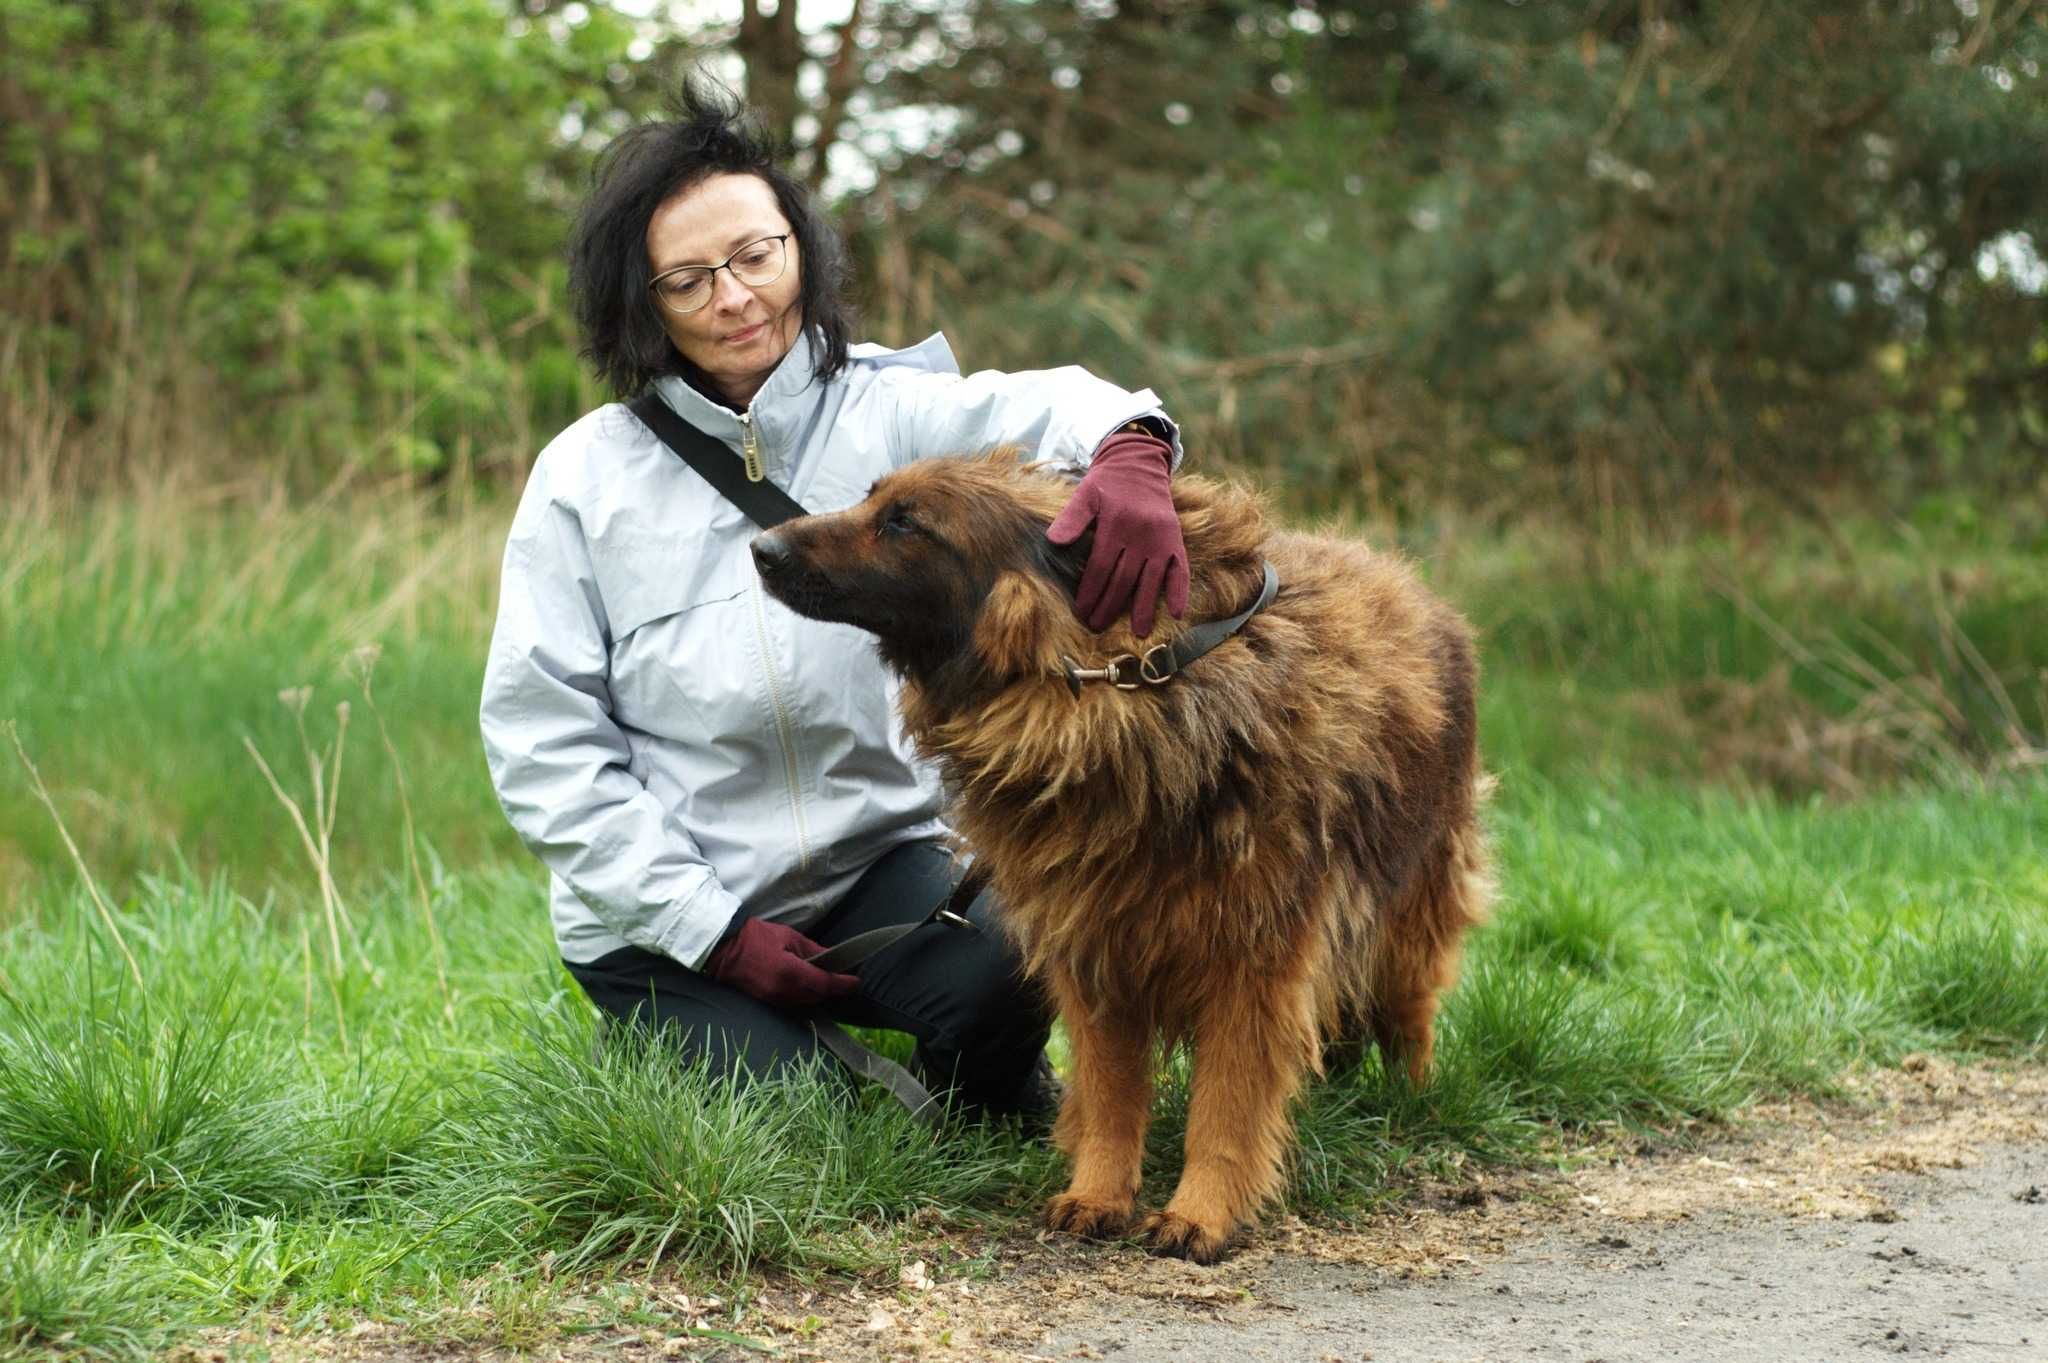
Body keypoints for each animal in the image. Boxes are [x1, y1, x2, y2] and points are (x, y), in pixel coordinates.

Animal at [753, 450, 1490, 1260]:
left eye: (905, 523)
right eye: (873, 499)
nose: (760, 548)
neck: (1121, 691)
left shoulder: (1253, 964)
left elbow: (1226, 1105)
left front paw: (1203, 1211)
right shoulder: (1097, 948)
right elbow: (1111, 1095)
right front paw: (1099, 1192)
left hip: (1409, 917)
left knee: (1409, 1014)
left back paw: (1409, 1101)